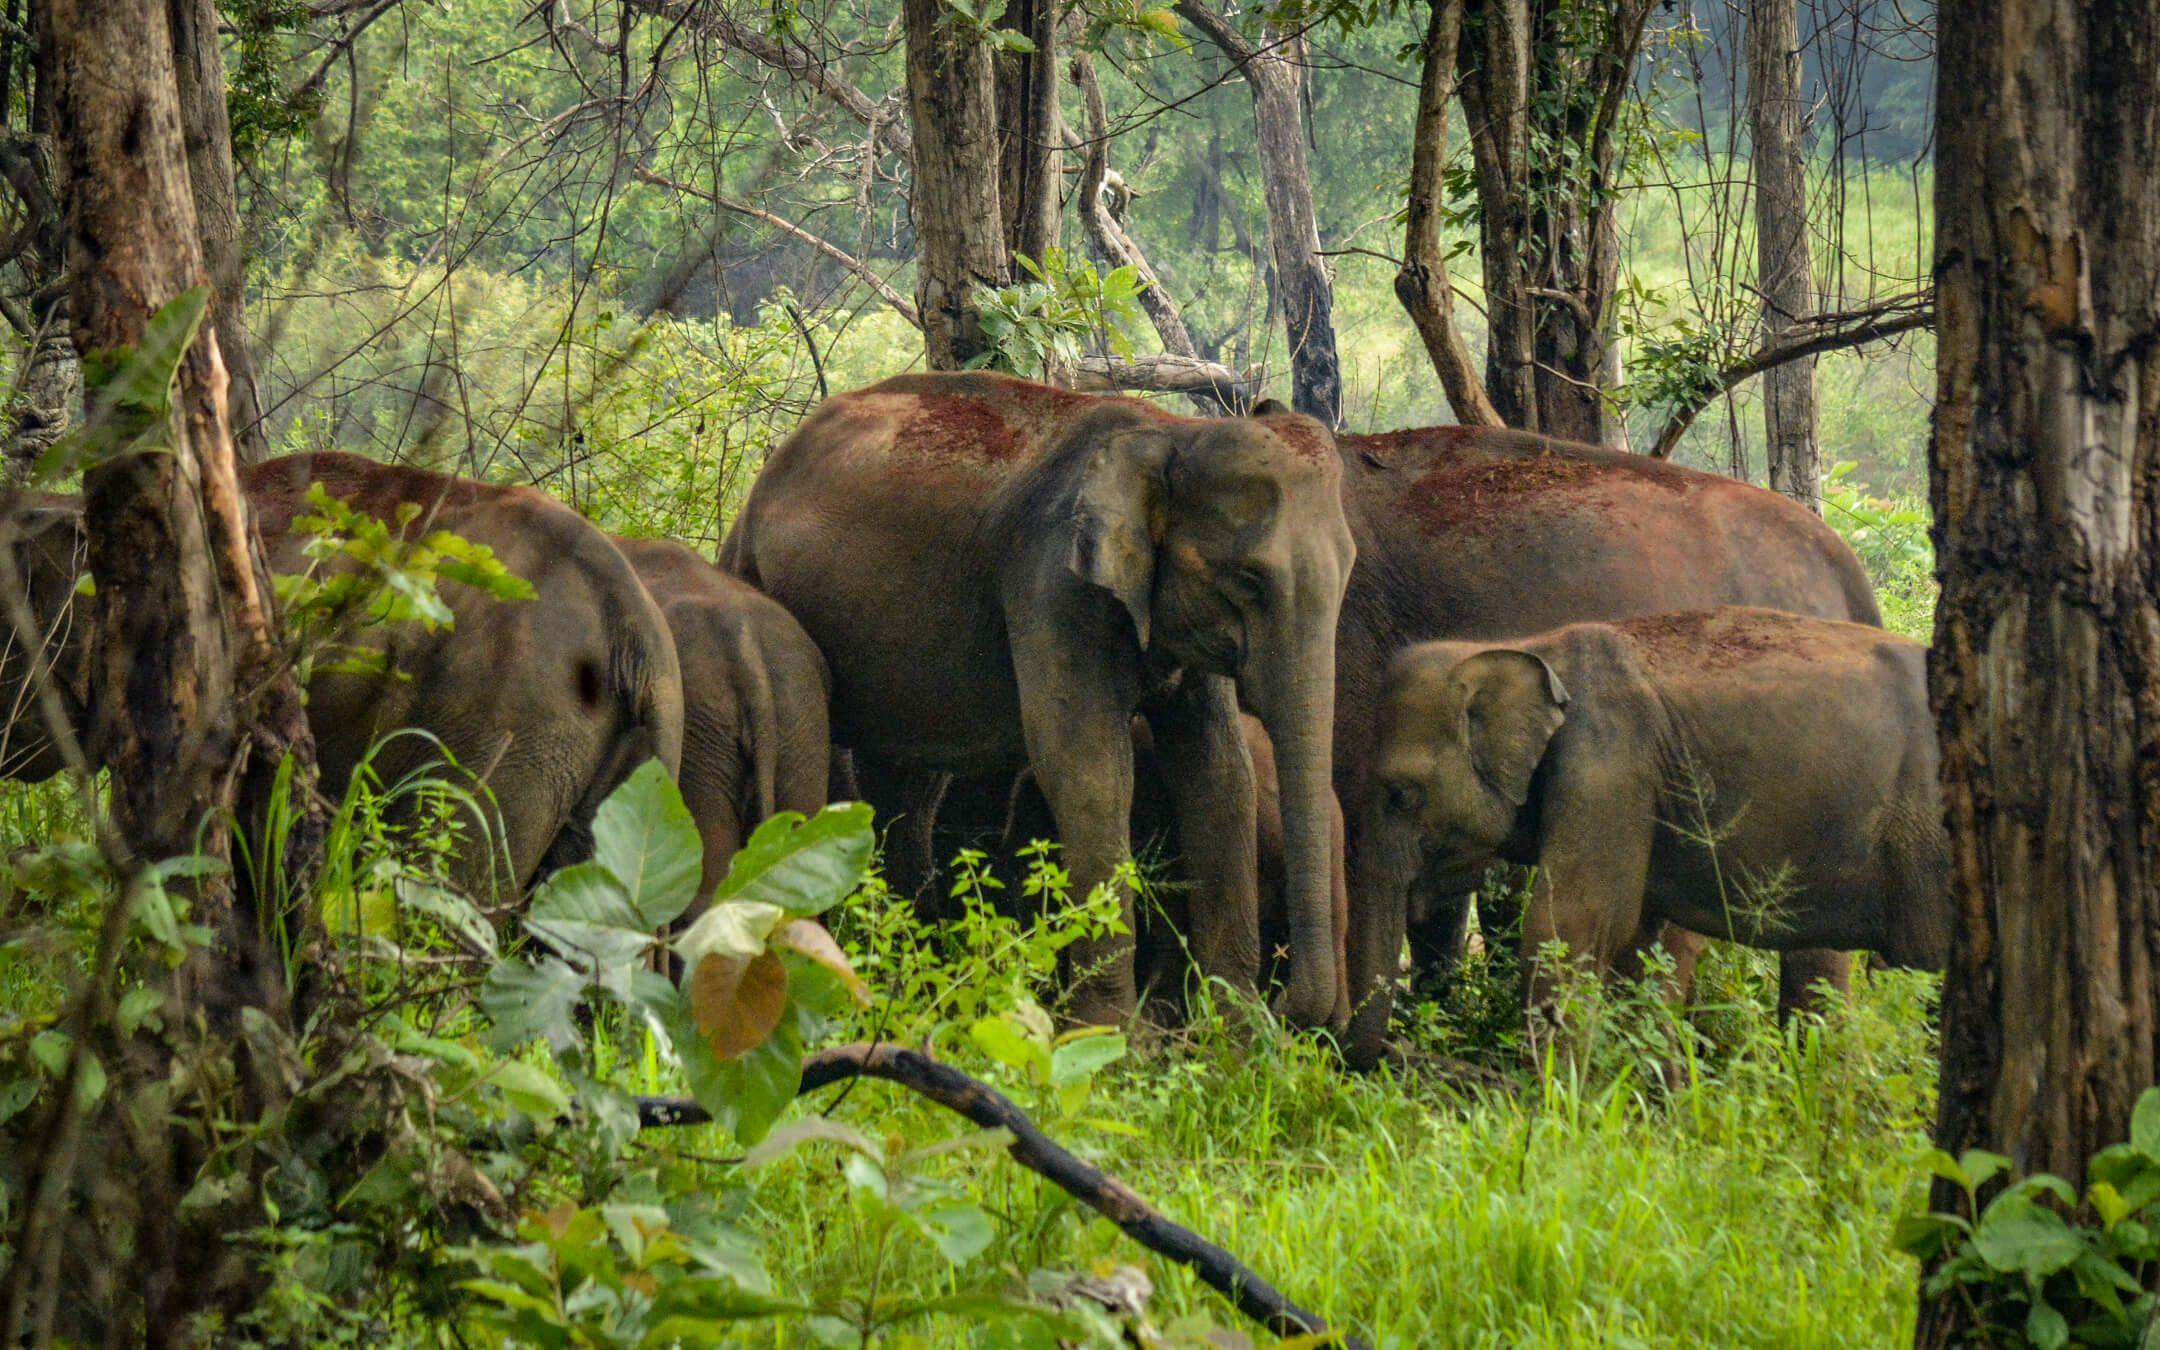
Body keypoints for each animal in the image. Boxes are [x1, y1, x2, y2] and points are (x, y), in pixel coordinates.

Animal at [734, 369, 1356, 1019]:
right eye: (1249, 580)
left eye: (1349, 572)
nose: (1283, 1004)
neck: (1173, 434)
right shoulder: (1053, 583)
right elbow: (1088, 774)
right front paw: (1110, 1030)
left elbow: (1219, 773)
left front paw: (1233, 1028)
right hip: (756, 572)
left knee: (911, 790)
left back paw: (908, 981)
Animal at [1339, 609, 1952, 1062]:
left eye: (1400, 794)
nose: (1383, 1055)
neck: (1530, 645)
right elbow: (1639, 946)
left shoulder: (1608, 766)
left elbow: (1570, 928)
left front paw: (1558, 1117)